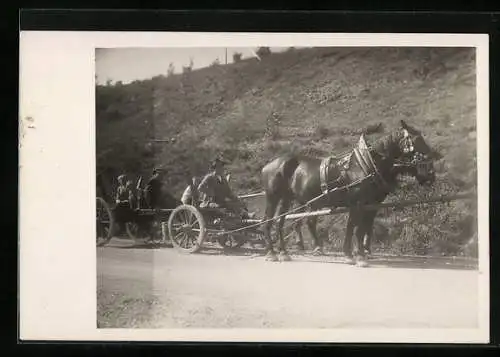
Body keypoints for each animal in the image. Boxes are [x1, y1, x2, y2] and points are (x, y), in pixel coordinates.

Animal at [262, 119, 438, 262]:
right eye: (416, 139)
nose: (431, 173)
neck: (366, 165)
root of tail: (268, 165)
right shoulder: (358, 203)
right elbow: (357, 227)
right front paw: (358, 255)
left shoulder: (369, 204)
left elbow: (360, 226)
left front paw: (355, 252)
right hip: (273, 197)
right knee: (269, 221)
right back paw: (272, 252)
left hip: (288, 198)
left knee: (282, 221)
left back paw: (285, 252)